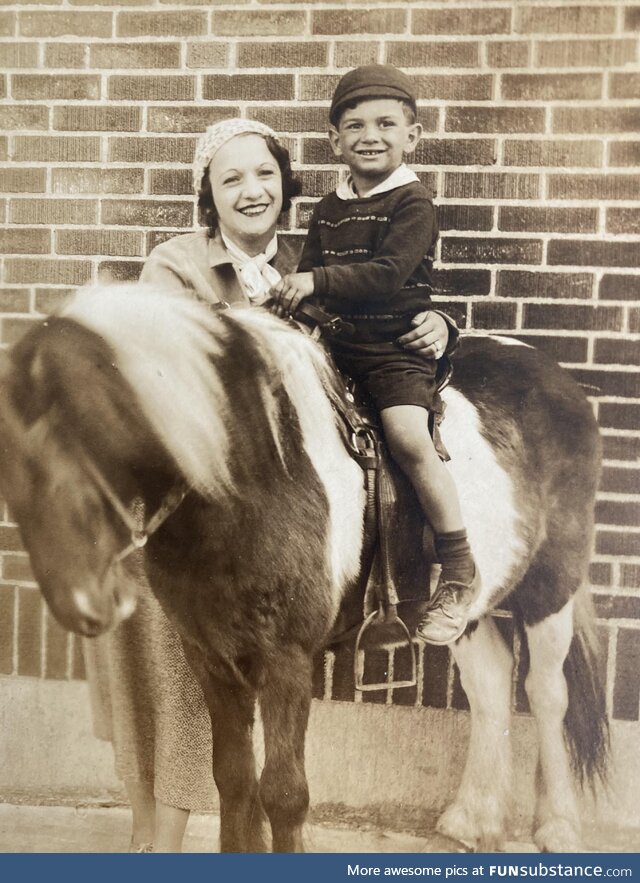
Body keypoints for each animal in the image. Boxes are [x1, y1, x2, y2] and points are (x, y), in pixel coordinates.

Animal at [0, 286, 608, 852]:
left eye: (93, 424)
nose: (87, 604)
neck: (251, 472)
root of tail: (561, 380)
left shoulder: (286, 661)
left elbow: (284, 792)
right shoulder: (212, 657)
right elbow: (233, 778)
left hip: (551, 587)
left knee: (546, 693)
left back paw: (557, 827)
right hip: (462, 612)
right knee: (490, 685)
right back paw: (470, 823)